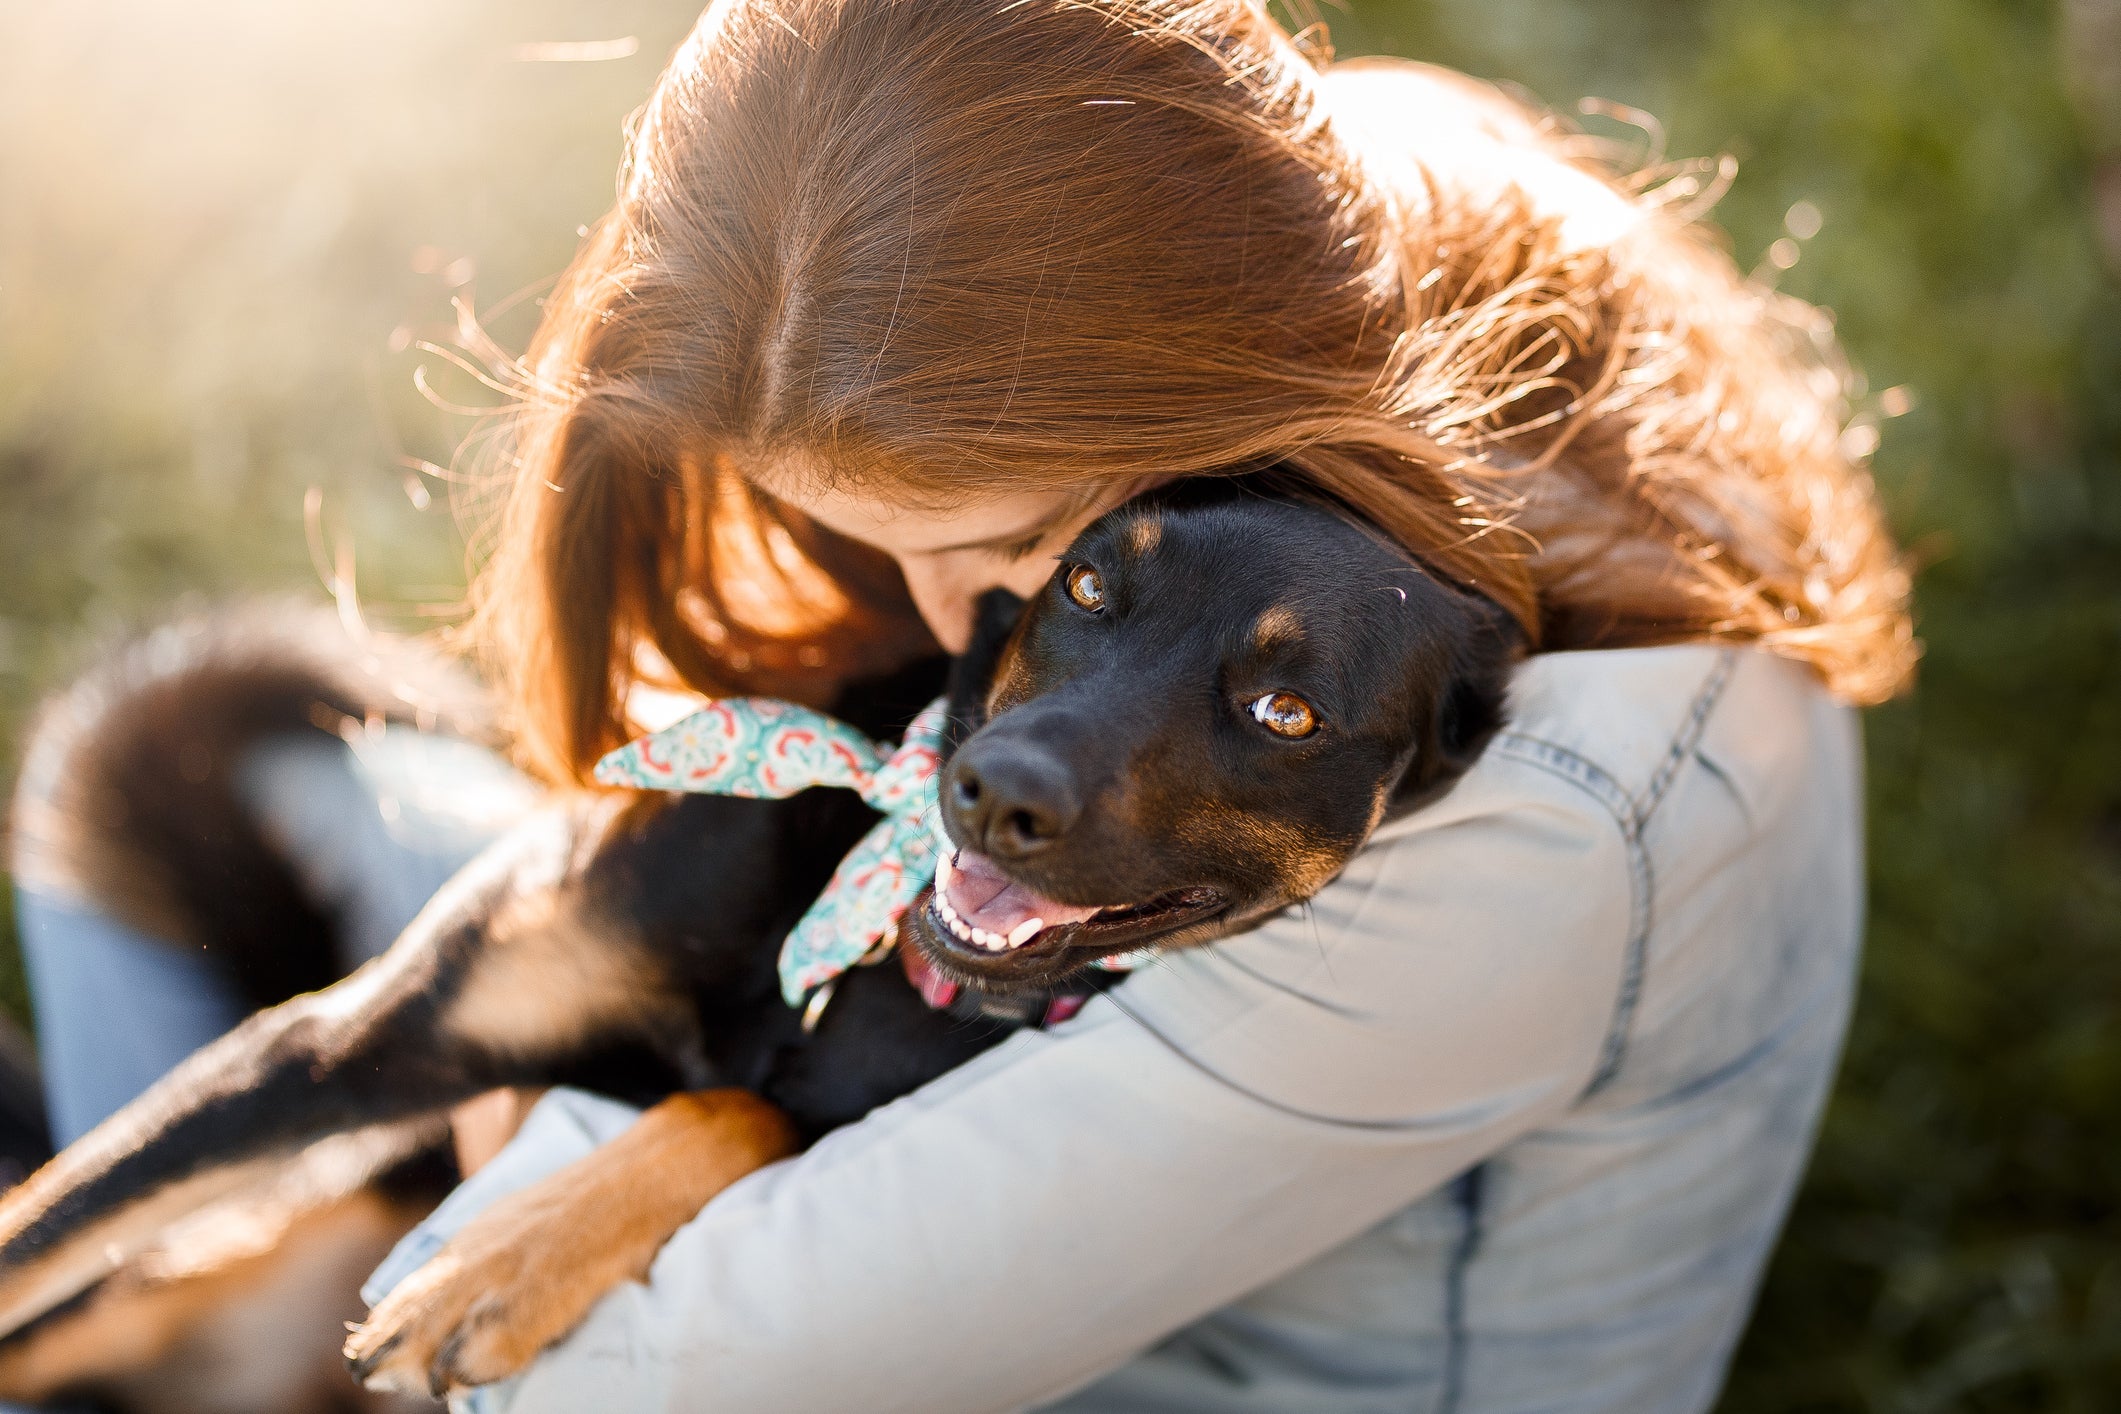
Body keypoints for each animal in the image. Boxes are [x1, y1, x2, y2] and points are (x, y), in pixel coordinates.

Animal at [0, 481, 1527, 1399]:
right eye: (1088, 587)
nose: (992, 791)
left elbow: (740, 1108)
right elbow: (39, 1232)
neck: (862, 929)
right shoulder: (349, 1043)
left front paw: (513, 1252)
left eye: (1287, 712)